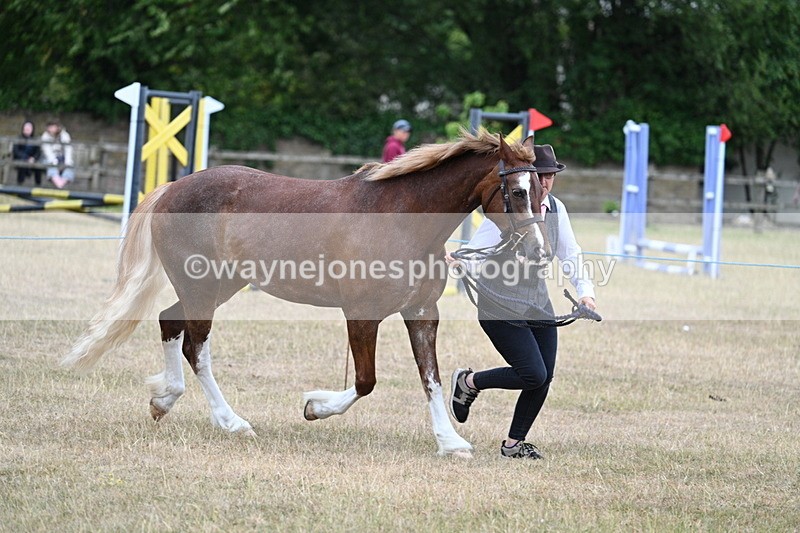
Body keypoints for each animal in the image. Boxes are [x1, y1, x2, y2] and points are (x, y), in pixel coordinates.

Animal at [61, 129, 550, 458]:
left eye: (543, 191)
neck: (402, 218)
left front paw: (450, 442)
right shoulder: (362, 313)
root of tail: (171, 189)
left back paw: (163, 401)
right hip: (201, 284)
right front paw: (315, 406)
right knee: (196, 345)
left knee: (170, 321)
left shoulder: (422, 311)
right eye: (516, 191)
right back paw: (232, 422)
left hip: (218, 283)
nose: (539, 251)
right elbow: (366, 381)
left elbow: (429, 377)